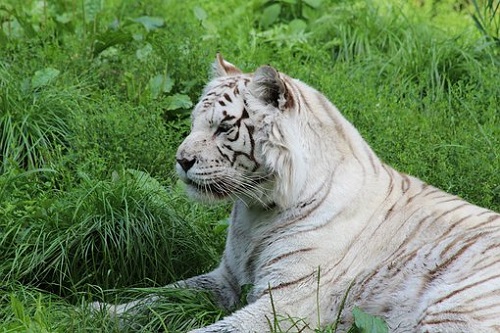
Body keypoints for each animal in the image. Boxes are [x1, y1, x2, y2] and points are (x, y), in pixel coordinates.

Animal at [96, 55, 500, 332]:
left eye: (224, 127)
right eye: (194, 122)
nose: (181, 160)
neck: (255, 212)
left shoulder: (287, 300)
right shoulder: (226, 278)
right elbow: (157, 295)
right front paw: (95, 310)